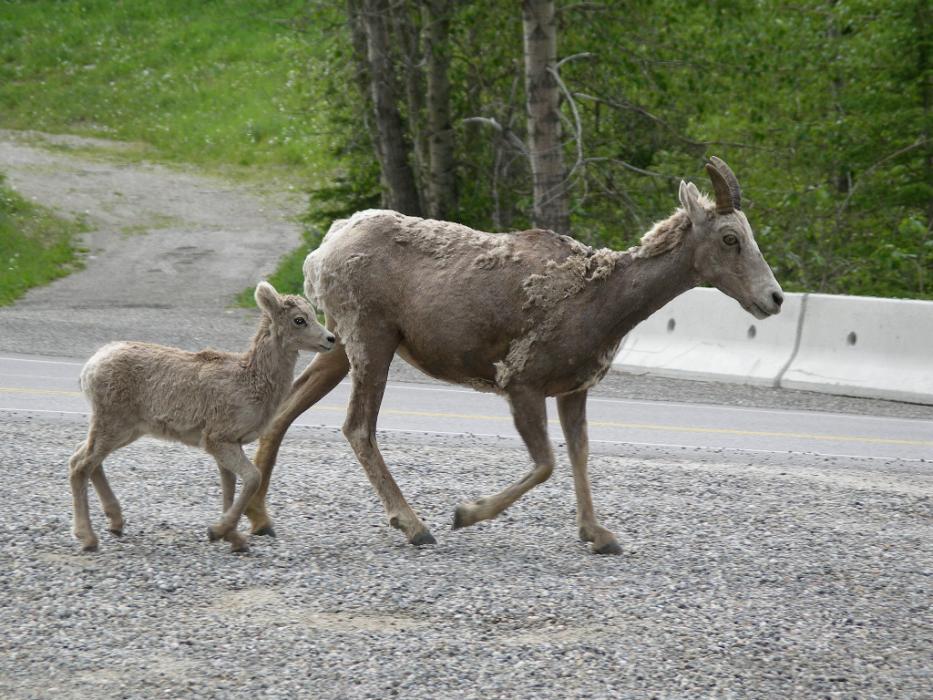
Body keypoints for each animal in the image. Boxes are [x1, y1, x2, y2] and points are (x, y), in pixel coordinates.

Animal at [68, 281, 335, 553]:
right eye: (299, 320)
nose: (330, 339)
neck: (250, 381)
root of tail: (89, 368)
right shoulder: (219, 440)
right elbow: (252, 478)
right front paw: (217, 532)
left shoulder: (229, 445)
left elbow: (229, 487)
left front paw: (233, 539)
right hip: (113, 425)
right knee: (80, 465)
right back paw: (88, 539)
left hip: (126, 430)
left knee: (84, 457)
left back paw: (116, 524)